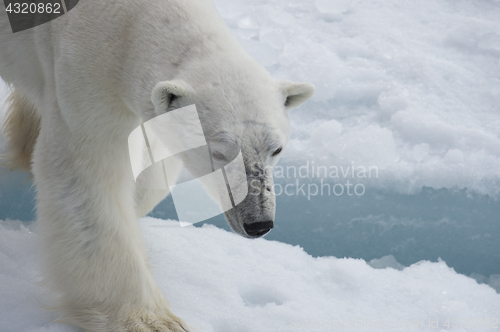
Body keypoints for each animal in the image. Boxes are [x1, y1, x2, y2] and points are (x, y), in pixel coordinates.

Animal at [0, 0, 312, 332]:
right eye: (219, 152)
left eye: (276, 149)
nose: (258, 223)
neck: (127, 21)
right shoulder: (84, 71)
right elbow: (86, 179)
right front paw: (152, 320)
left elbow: (150, 170)